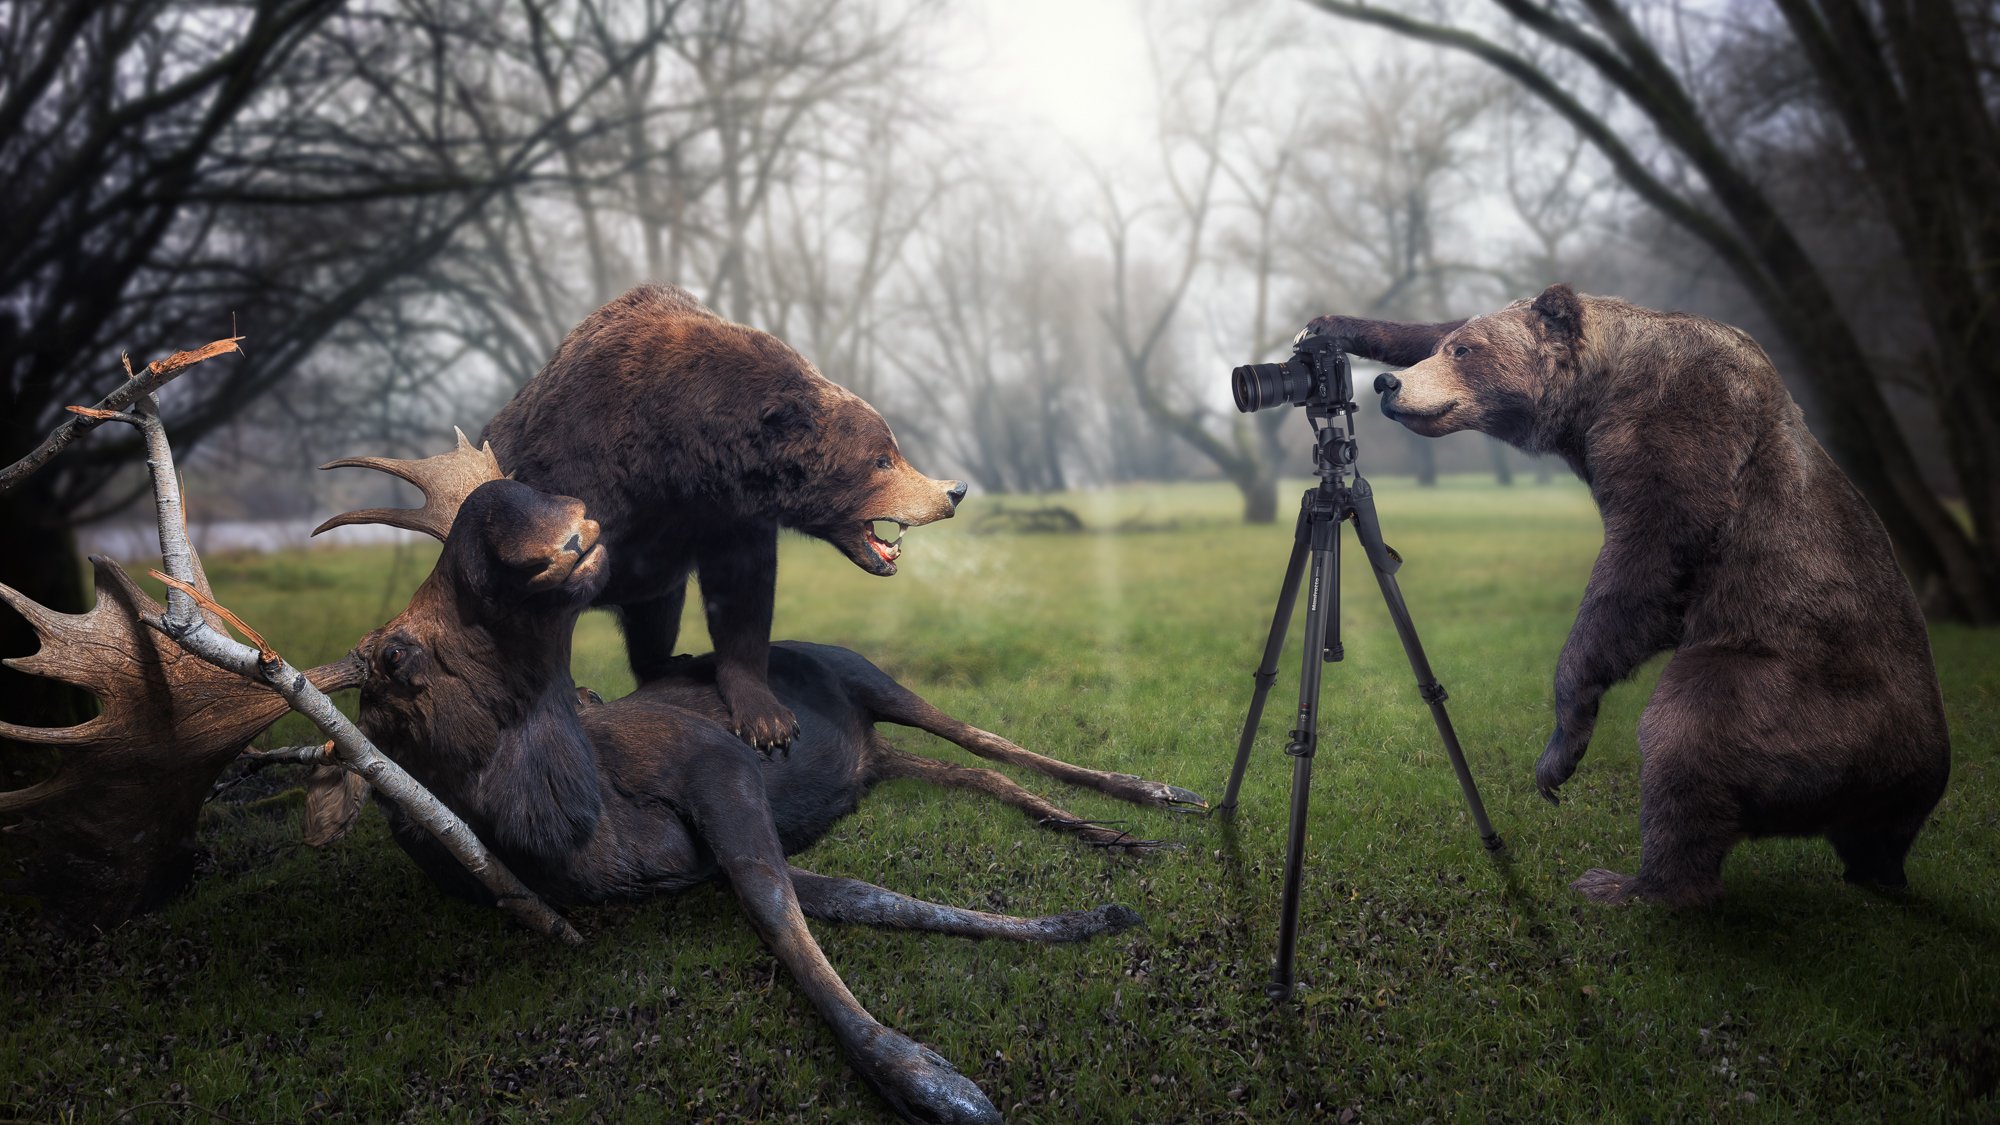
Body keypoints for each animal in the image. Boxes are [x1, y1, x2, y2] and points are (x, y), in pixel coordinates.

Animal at [482, 284, 967, 751]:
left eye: (893, 451)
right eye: (882, 459)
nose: (954, 491)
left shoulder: (726, 517)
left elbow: (742, 596)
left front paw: (766, 719)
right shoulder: (579, 465)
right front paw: (570, 693)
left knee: (656, 614)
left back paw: (669, 662)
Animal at [1307, 284, 1951, 906]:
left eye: (1467, 352)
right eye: (1446, 347)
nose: (1390, 385)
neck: (1601, 394)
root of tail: (1912, 778)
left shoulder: (1683, 431)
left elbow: (1644, 567)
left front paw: (1558, 750)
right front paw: (1331, 324)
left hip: (1793, 687)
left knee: (1687, 732)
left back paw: (1629, 885)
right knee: (1867, 838)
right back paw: (1873, 868)